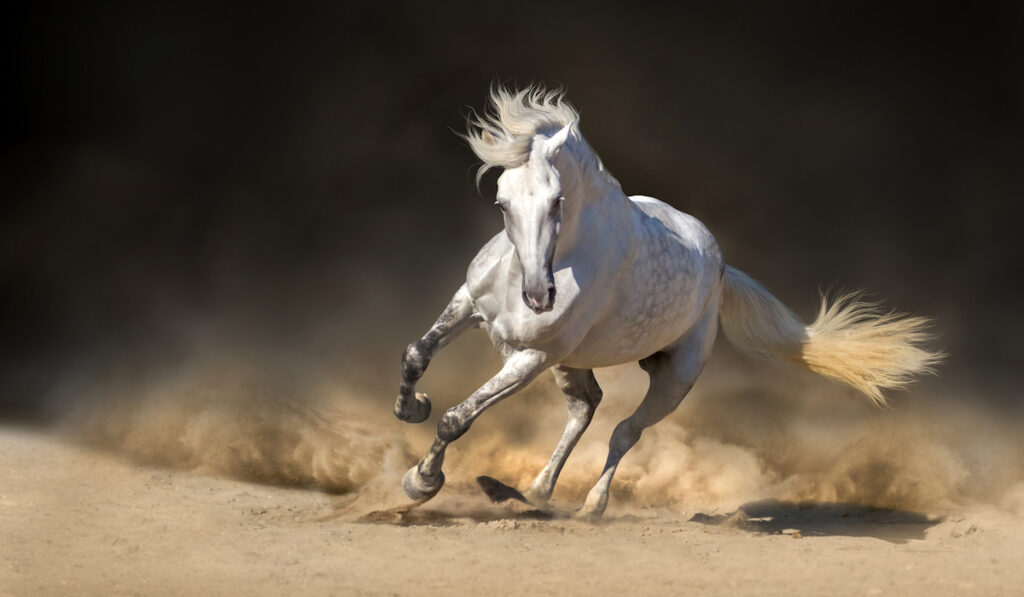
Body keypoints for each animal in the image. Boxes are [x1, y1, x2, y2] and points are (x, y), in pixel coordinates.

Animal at [391, 85, 937, 518]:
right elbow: (417, 354)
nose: (538, 297)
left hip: (673, 377)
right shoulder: (469, 304)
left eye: (557, 200)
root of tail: (719, 267)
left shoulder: (530, 357)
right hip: (573, 361)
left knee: (623, 431)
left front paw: (421, 482)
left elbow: (458, 417)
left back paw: (589, 506)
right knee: (586, 407)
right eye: (502, 202)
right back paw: (532, 491)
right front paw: (410, 407)